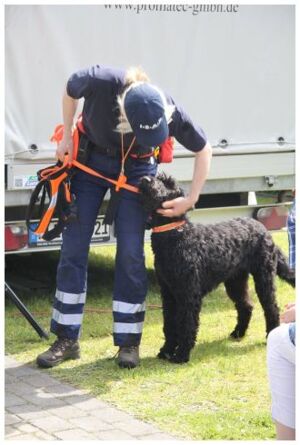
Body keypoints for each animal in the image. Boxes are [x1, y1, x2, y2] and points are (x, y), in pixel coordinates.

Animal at [139, 172, 294, 362]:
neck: (176, 236)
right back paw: (238, 333)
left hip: (264, 277)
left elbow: (187, 324)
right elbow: (169, 324)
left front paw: (181, 354)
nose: (145, 179)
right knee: (246, 306)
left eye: (168, 184)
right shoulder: (168, 293)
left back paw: (268, 335)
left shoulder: (189, 294)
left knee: (272, 308)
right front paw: (166, 350)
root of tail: (262, 228)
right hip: (235, 281)